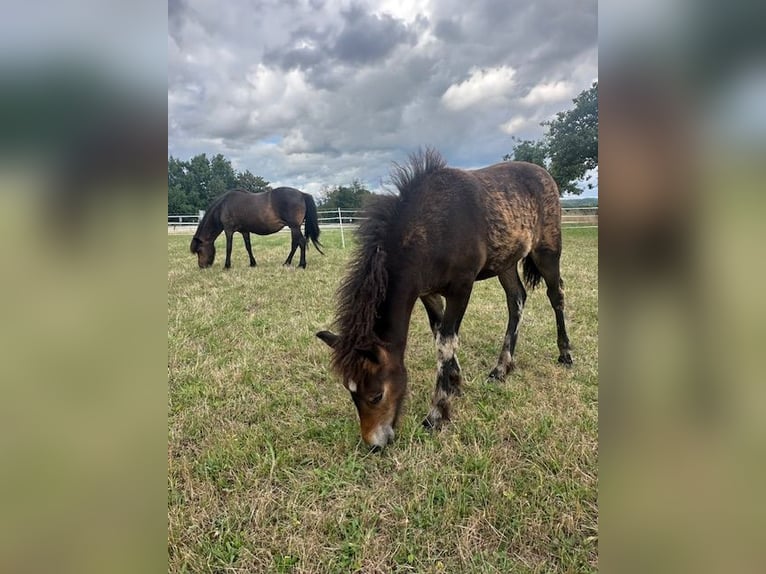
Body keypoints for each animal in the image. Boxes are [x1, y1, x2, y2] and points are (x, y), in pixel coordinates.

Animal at [190, 187, 323, 269]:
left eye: (199, 251)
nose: (202, 266)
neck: (223, 206)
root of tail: (301, 194)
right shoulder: (244, 231)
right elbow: (248, 247)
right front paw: (252, 263)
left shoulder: (228, 230)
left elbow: (229, 248)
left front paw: (227, 266)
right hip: (293, 228)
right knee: (295, 243)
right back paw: (286, 263)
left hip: (294, 227)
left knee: (301, 242)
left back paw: (301, 265)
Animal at [316, 149, 572, 450]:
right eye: (351, 393)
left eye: (376, 395)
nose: (374, 445)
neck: (430, 230)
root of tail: (544, 173)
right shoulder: (426, 292)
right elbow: (438, 330)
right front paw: (455, 382)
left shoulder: (461, 287)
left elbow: (446, 341)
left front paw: (437, 413)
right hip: (506, 262)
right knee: (516, 299)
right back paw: (502, 368)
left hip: (547, 251)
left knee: (556, 295)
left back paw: (565, 353)